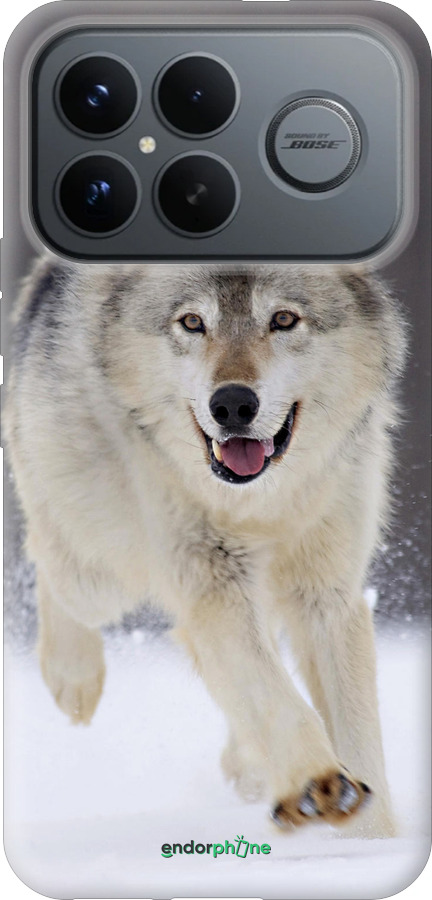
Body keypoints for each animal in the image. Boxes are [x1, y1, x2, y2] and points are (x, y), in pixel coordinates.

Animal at [5, 256, 406, 837]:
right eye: (193, 322)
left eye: (283, 319)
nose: (233, 404)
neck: (259, 504)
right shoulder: (212, 581)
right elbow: (273, 694)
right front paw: (318, 783)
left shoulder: (326, 595)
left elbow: (356, 733)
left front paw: (371, 840)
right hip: (100, 569)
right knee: (48, 558)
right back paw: (72, 680)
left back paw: (250, 767)